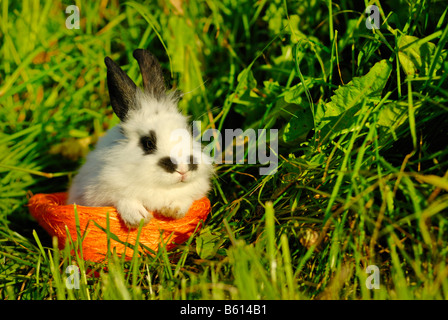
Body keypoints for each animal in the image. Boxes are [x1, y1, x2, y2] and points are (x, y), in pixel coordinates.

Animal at [67, 48, 214, 229]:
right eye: (148, 143)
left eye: (189, 131)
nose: (183, 168)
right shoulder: (98, 192)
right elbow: (123, 199)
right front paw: (138, 219)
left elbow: (185, 198)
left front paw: (173, 211)